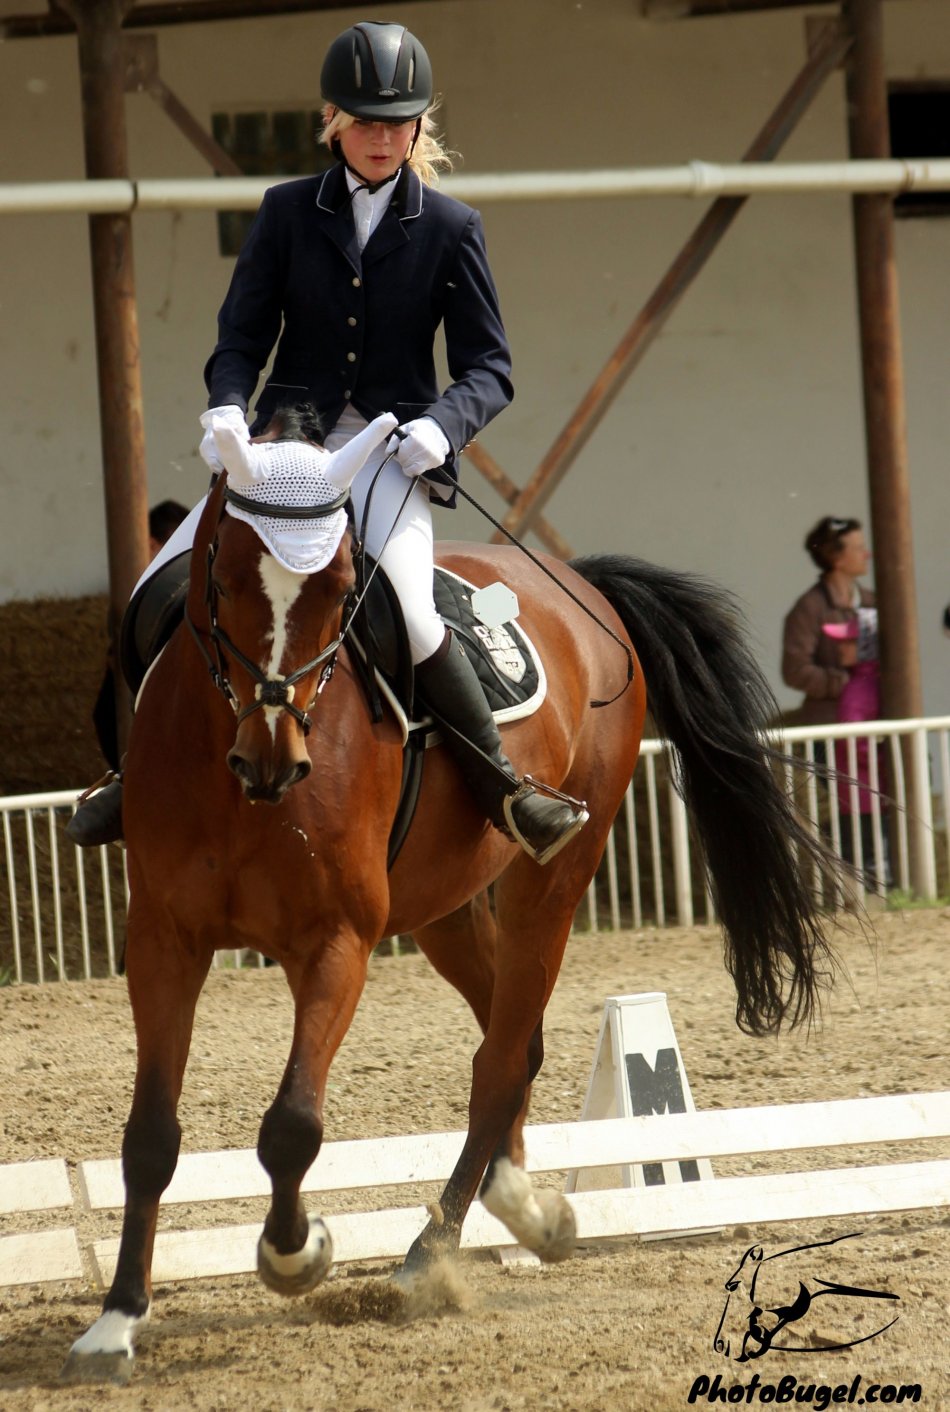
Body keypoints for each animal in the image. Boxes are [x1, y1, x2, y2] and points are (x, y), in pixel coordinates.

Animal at [64, 426, 840, 1383]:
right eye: (229, 577)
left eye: (339, 592)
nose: (275, 758)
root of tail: (579, 583)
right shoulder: (164, 940)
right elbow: (148, 1137)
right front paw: (116, 1320)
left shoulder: (337, 943)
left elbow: (291, 1126)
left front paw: (297, 1252)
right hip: (440, 909)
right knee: (516, 1040)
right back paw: (514, 1210)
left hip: (555, 876)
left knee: (501, 1057)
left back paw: (445, 1247)